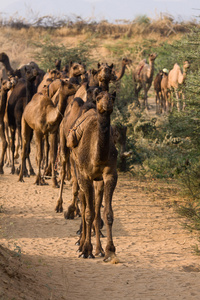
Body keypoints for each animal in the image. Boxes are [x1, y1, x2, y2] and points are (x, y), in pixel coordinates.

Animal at [55, 89, 118, 260]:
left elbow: (107, 213)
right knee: (83, 205)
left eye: (112, 98)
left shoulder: (110, 175)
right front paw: (86, 250)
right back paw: (81, 242)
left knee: (94, 208)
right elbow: (88, 212)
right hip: (75, 167)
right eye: (99, 97)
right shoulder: (85, 176)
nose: (107, 104)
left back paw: (98, 248)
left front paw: (109, 250)